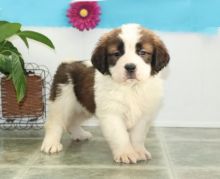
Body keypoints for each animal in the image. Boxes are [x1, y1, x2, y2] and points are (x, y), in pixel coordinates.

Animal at [40, 23, 169, 164]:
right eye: (116, 54)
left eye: (142, 52)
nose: (130, 67)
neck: (130, 88)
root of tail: (67, 62)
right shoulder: (111, 114)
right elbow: (120, 135)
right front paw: (126, 153)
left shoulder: (144, 115)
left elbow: (137, 136)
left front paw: (139, 151)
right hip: (62, 99)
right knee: (55, 122)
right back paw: (51, 143)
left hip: (84, 105)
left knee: (72, 121)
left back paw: (79, 134)